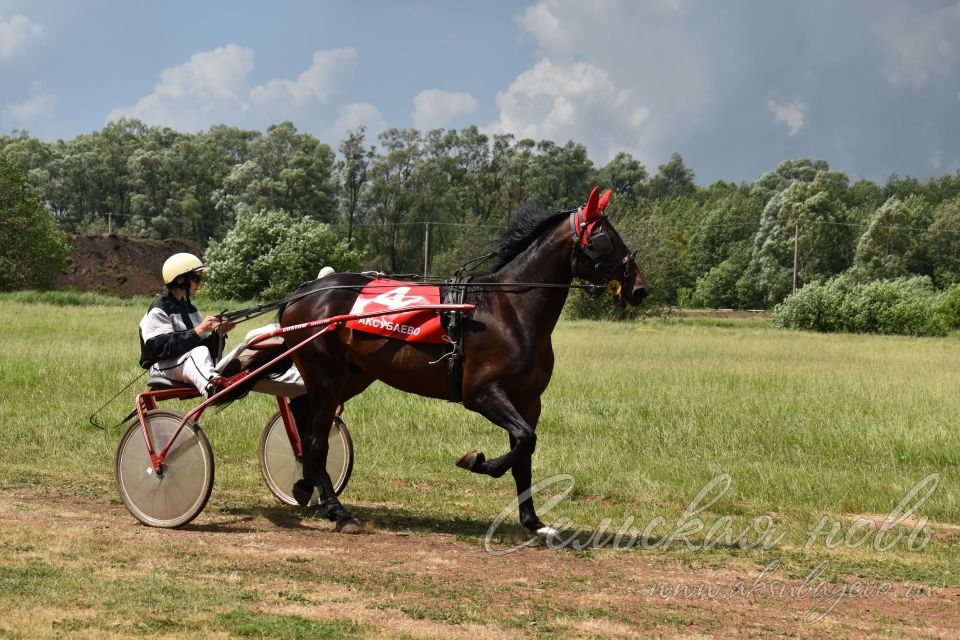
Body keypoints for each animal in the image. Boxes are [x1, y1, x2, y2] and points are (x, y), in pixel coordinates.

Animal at [278, 188, 648, 536]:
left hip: (352, 376)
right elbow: (524, 440)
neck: (507, 309)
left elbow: (524, 455)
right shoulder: (482, 393)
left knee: (304, 418)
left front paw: (533, 521)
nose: (640, 288)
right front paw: (476, 461)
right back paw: (338, 512)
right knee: (315, 439)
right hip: (327, 376)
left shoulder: (529, 400)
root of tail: (303, 292)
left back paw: (305, 485)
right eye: (604, 238)